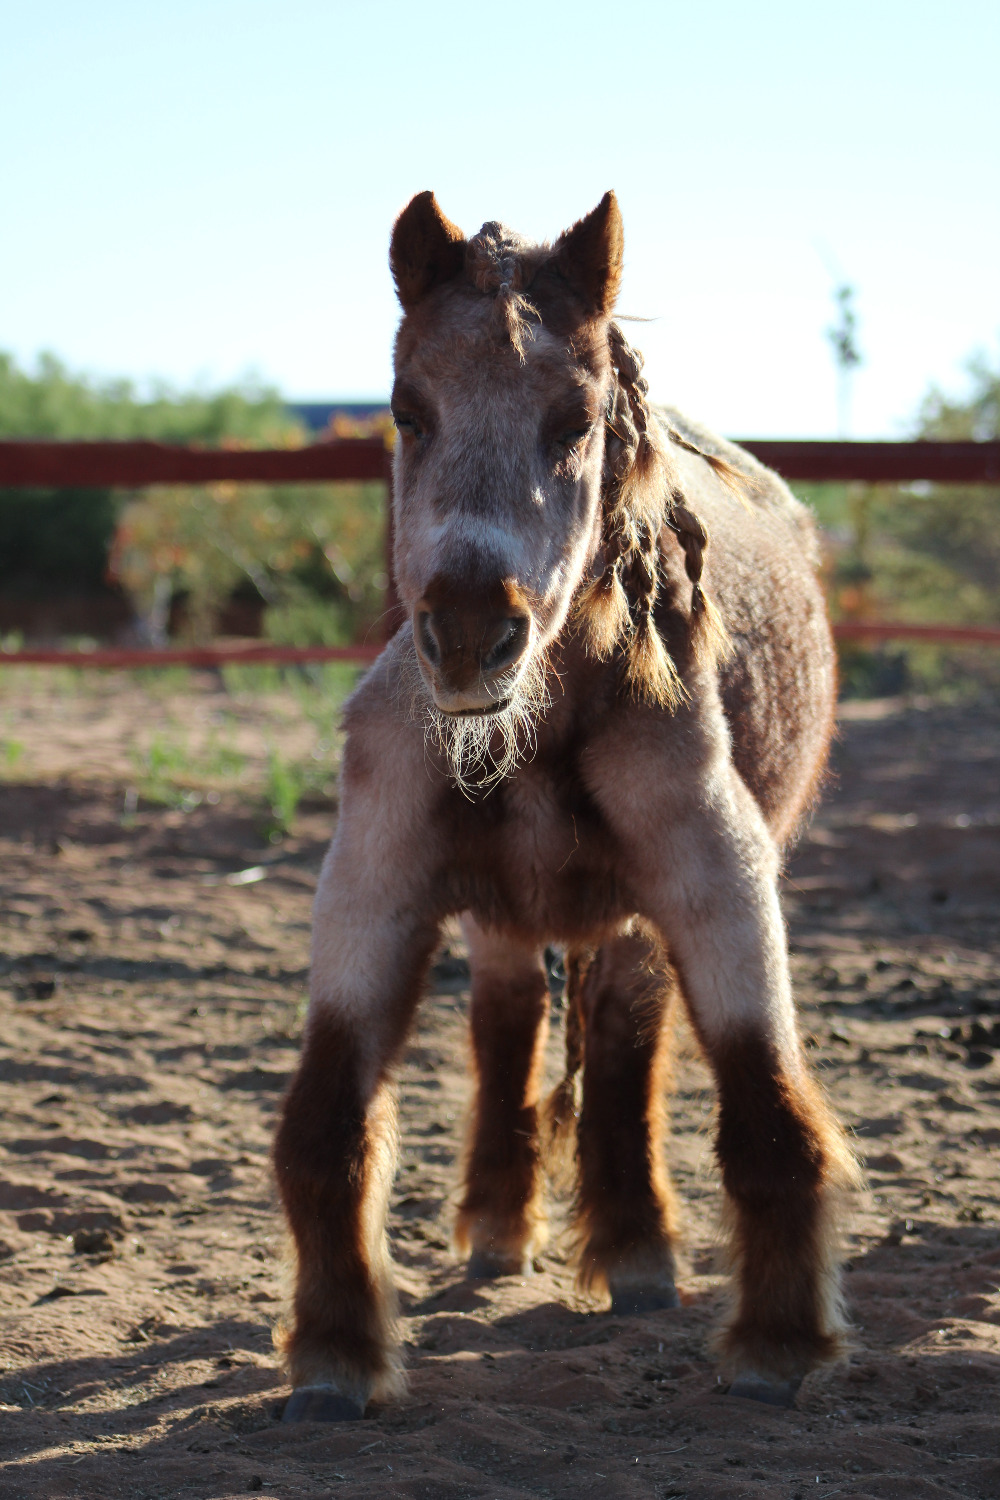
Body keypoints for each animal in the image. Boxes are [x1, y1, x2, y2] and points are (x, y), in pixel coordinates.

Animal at [273, 189, 858, 1422]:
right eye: (407, 409)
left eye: (573, 420)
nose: (466, 631)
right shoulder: (373, 889)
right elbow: (327, 1126)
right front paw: (335, 1351)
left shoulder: (717, 882)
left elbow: (764, 1111)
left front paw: (781, 1342)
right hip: (501, 916)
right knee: (508, 1024)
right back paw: (500, 1227)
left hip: (629, 924)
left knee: (624, 1047)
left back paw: (635, 1253)